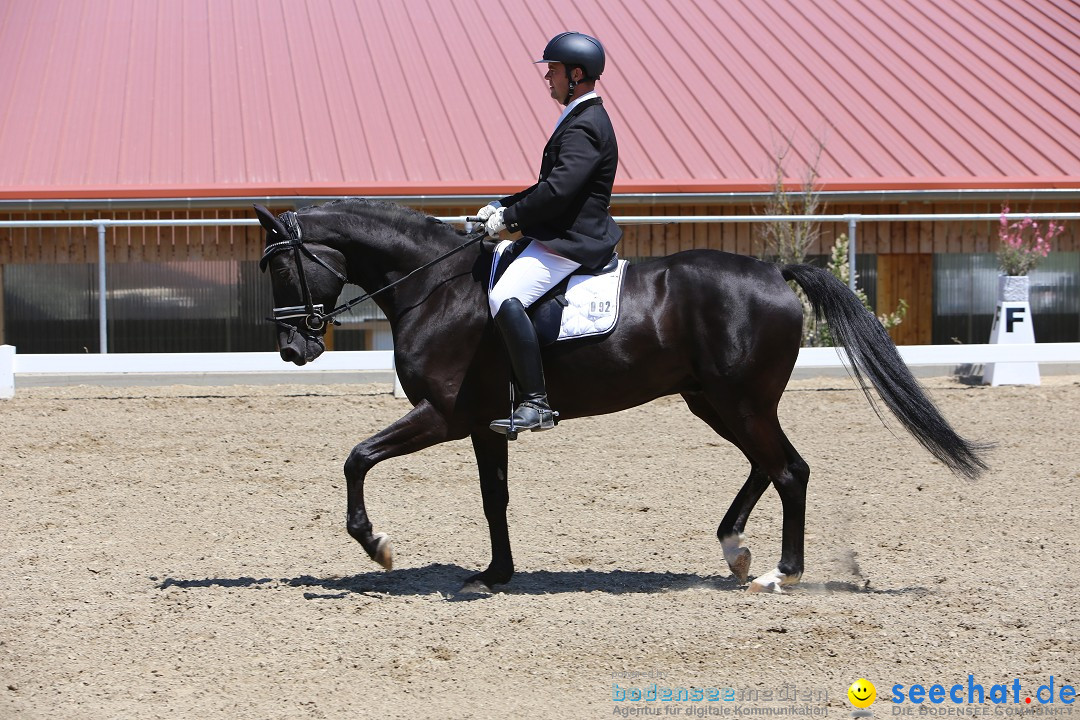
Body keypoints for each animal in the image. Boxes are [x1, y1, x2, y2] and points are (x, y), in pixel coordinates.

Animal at [254, 199, 989, 595]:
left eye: (283, 263)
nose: (292, 348)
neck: (436, 289)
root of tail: (772, 272)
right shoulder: (486, 425)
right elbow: (495, 499)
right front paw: (495, 573)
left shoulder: (442, 416)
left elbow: (357, 457)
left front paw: (375, 543)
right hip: (715, 401)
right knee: (770, 464)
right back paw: (735, 549)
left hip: (741, 402)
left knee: (789, 470)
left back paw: (780, 573)